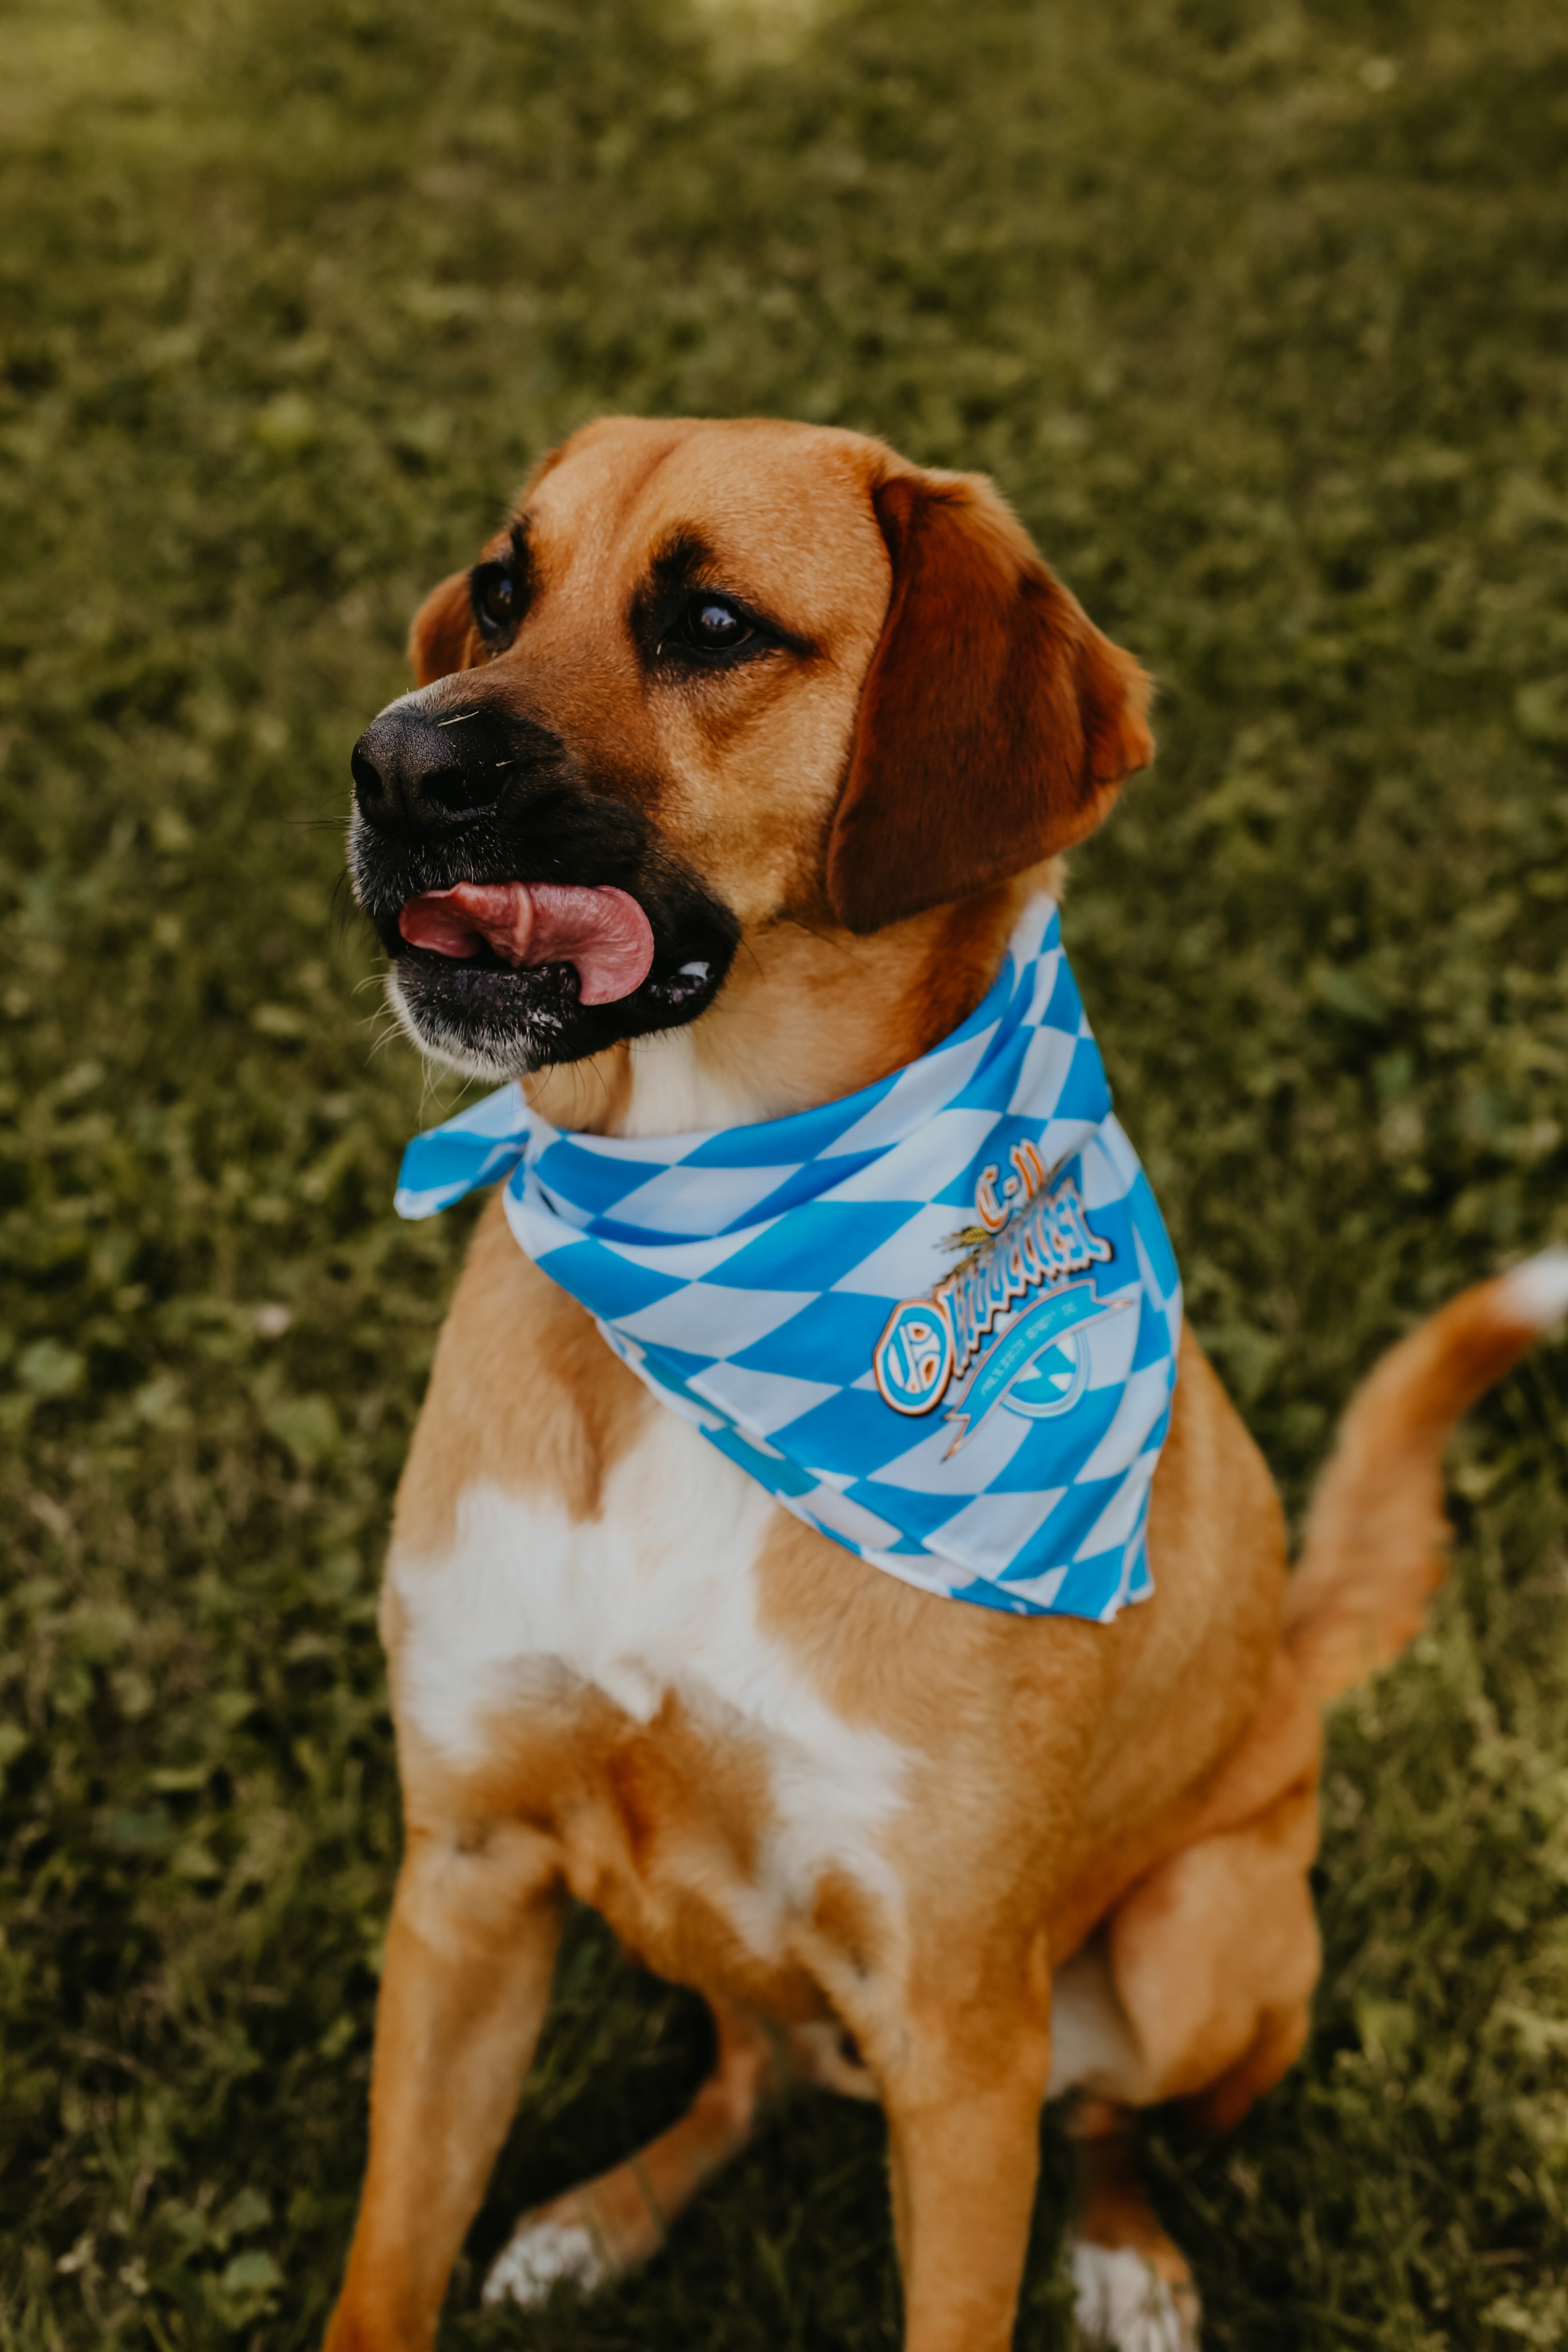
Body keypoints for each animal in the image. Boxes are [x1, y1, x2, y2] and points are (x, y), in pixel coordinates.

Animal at [331, 413, 1568, 2342]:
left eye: (709, 621)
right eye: (502, 590)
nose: (388, 768)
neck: (714, 1219)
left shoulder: (959, 2034)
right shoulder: (464, 1876)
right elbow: (385, 2264)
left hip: (1195, 1939)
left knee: (1111, 2116)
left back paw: (1128, 2260)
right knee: (751, 2063)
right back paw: (603, 2217)